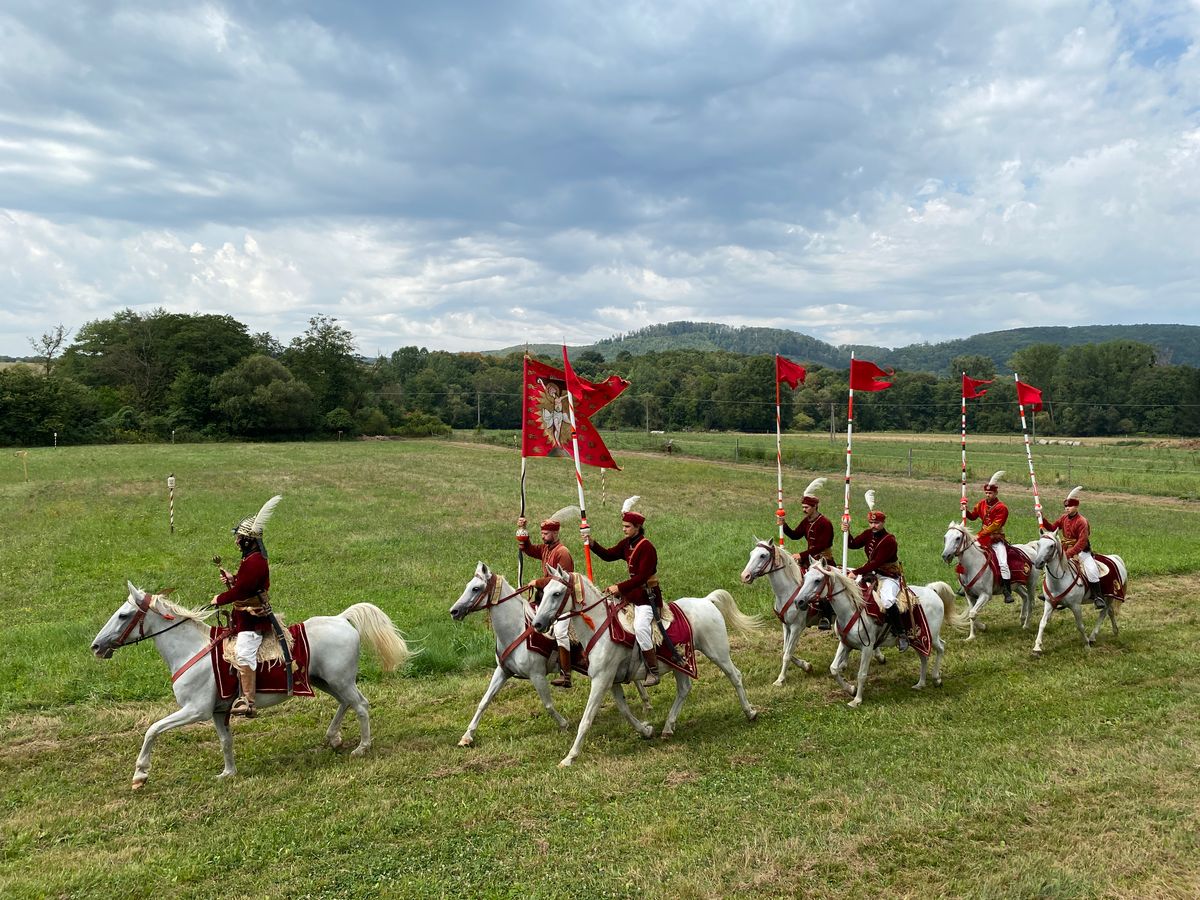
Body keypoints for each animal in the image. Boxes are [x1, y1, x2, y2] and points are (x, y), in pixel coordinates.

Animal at [90, 585, 412, 787]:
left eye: (123, 615)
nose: (96, 646)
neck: (192, 650)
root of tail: (342, 619)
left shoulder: (196, 711)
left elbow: (153, 729)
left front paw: (140, 774)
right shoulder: (218, 712)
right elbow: (225, 741)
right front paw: (228, 773)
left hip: (340, 681)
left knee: (361, 706)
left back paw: (362, 747)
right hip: (325, 681)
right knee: (346, 703)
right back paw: (333, 738)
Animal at [451, 564, 657, 748]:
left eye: (476, 588)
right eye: (468, 585)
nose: (454, 611)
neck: (516, 629)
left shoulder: (537, 675)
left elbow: (548, 705)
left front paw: (564, 724)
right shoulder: (502, 671)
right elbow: (484, 702)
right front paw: (467, 736)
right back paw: (646, 703)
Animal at [532, 571, 758, 768]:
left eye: (557, 593)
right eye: (544, 592)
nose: (538, 624)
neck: (601, 628)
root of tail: (706, 601)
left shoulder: (601, 680)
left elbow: (587, 719)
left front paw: (569, 757)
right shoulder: (612, 681)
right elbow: (624, 710)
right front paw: (646, 730)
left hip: (717, 653)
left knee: (735, 676)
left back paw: (750, 712)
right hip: (680, 662)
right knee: (684, 689)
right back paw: (668, 727)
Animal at [739, 542, 883, 681]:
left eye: (763, 555)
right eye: (751, 554)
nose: (745, 576)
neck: (787, 591)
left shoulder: (797, 627)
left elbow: (787, 654)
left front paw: (780, 679)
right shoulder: (786, 625)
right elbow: (785, 650)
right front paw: (806, 666)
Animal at [792, 566, 960, 710]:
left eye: (818, 580)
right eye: (805, 577)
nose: (798, 601)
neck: (851, 609)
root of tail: (932, 591)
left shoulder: (867, 648)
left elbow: (861, 674)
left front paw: (857, 700)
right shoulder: (845, 644)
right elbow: (833, 669)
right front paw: (851, 689)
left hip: (930, 636)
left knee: (941, 647)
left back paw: (936, 678)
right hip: (917, 640)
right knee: (924, 657)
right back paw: (920, 683)